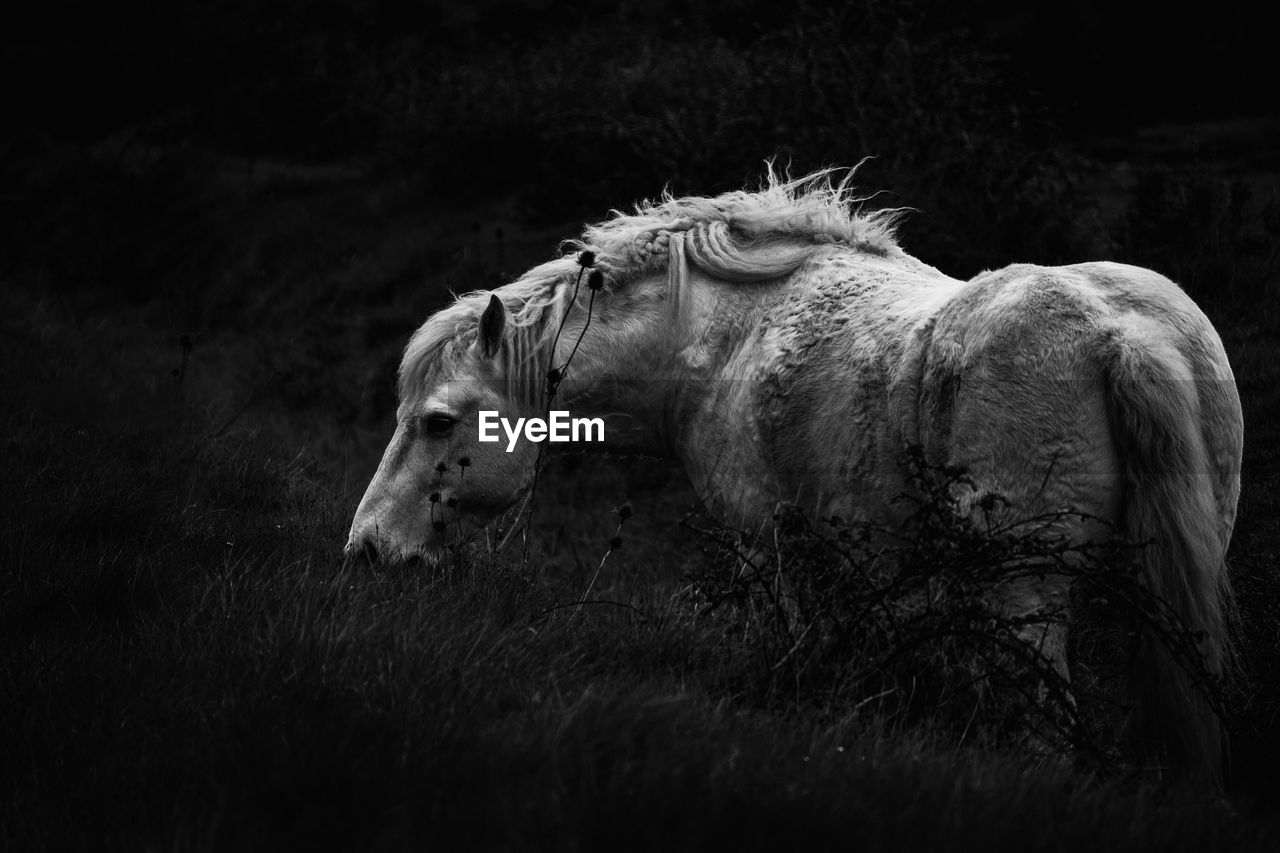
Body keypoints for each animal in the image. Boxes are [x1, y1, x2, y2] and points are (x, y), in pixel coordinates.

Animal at [348, 167, 1239, 783]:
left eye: (437, 421)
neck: (720, 336)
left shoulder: (763, 543)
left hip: (1024, 590)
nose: (368, 549)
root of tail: (1123, 334)